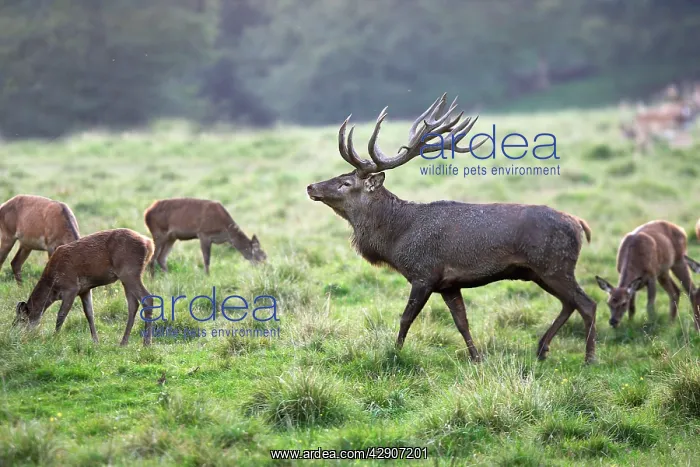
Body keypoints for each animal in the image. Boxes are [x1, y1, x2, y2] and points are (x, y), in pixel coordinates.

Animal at [14, 228, 155, 346]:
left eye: (22, 319)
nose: (17, 336)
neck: (52, 284)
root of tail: (149, 244)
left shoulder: (71, 287)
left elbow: (61, 314)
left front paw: (54, 338)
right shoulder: (85, 290)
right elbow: (89, 314)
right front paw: (96, 341)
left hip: (129, 271)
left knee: (147, 298)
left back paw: (146, 343)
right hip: (126, 277)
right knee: (133, 304)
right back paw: (123, 342)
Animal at [306, 93, 598, 363]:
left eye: (345, 183)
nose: (311, 186)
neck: (396, 237)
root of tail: (579, 223)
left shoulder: (424, 274)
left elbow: (405, 318)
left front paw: (395, 353)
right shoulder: (448, 284)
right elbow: (461, 322)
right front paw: (476, 357)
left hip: (555, 265)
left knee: (587, 303)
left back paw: (589, 357)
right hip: (539, 271)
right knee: (569, 303)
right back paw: (541, 349)